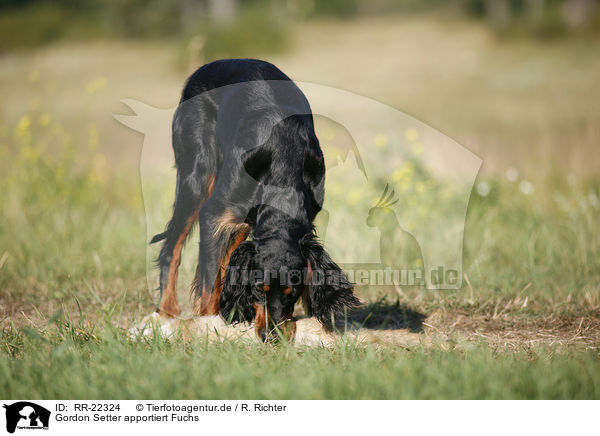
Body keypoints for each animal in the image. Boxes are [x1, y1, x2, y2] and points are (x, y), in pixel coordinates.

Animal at [152, 58, 358, 340]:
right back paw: (168, 308)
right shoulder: (214, 215)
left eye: (291, 293)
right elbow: (209, 281)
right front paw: (209, 322)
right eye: (259, 289)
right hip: (196, 175)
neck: (283, 169)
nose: (270, 335)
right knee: (171, 248)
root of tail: (210, 65)